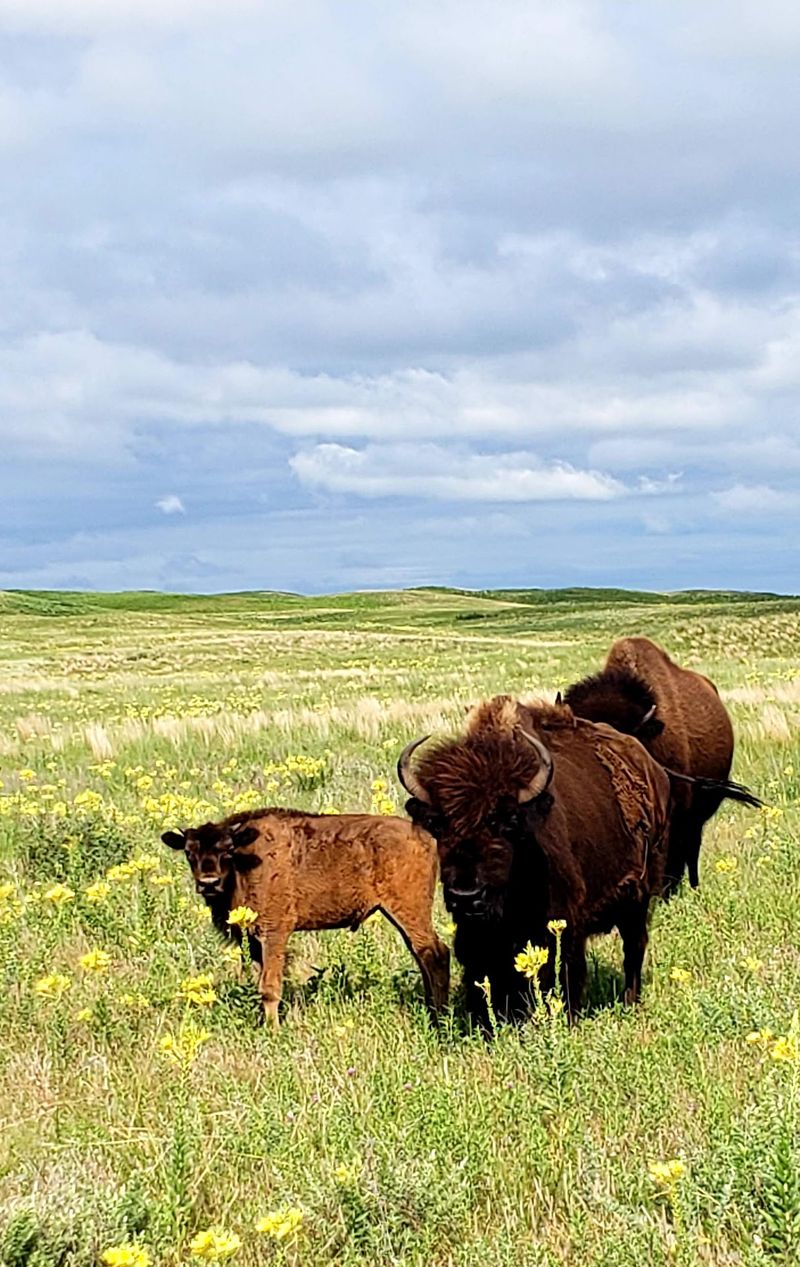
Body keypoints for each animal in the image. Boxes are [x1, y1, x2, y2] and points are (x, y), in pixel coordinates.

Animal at [397, 695, 673, 1028]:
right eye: (439, 825)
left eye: (507, 822)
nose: (466, 896)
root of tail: (653, 770)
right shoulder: (477, 935)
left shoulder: (565, 924)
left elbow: (566, 971)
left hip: (638, 899)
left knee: (634, 948)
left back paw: (631, 1001)